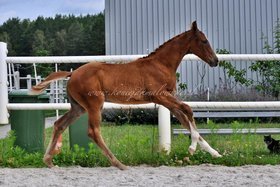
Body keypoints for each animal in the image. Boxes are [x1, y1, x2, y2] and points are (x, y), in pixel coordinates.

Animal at [31, 21, 221, 170]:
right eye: (204, 41)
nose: (215, 61)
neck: (160, 64)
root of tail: (72, 74)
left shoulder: (167, 100)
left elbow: (184, 118)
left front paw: (215, 153)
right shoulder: (159, 96)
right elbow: (188, 110)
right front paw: (191, 149)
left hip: (79, 107)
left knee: (59, 124)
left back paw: (48, 161)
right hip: (94, 104)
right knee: (93, 132)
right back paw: (119, 164)